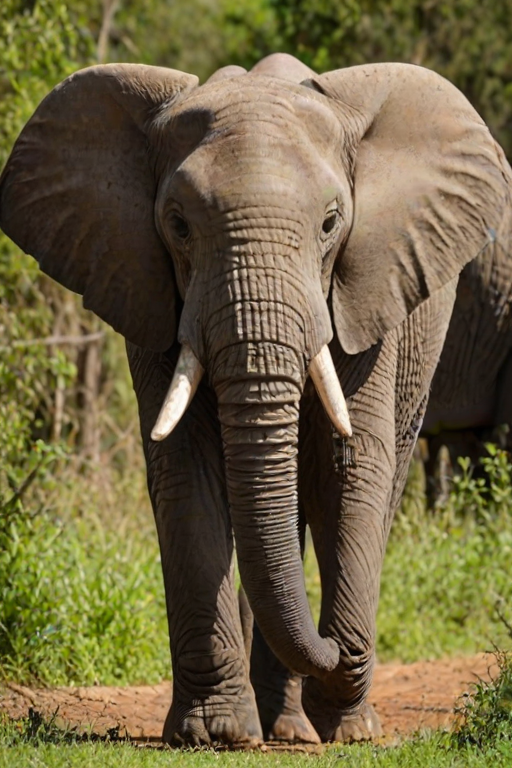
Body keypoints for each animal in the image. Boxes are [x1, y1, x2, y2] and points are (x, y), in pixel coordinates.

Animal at [1, 52, 511, 746]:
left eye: (331, 223)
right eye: (177, 224)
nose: (336, 647)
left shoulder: (365, 289)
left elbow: (349, 469)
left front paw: (349, 731)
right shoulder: (152, 293)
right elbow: (186, 470)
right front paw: (214, 733)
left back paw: (297, 729)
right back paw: (281, 724)